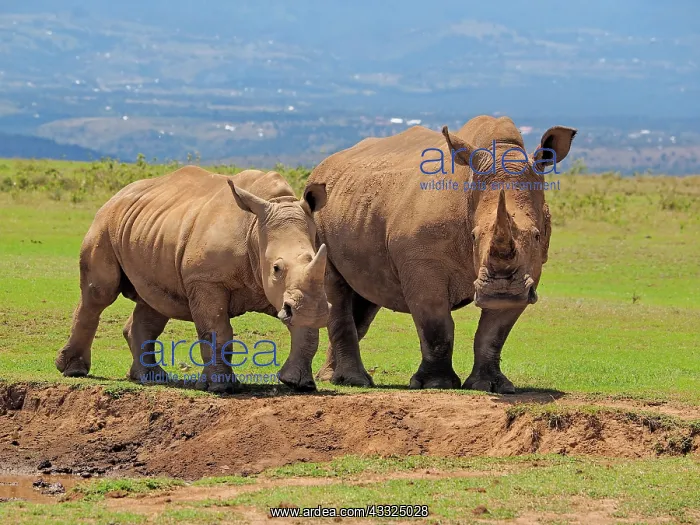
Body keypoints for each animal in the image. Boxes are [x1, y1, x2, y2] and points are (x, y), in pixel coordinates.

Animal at [55, 166, 331, 393]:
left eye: (319, 261)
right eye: (276, 268)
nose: (319, 312)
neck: (254, 230)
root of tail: (116, 196)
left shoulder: (298, 293)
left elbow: (305, 328)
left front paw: (298, 383)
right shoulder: (205, 280)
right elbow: (216, 328)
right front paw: (220, 387)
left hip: (149, 231)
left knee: (154, 303)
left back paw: (152, 378)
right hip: (104, 223)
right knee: (100, 293)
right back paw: (73, 370)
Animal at [305, 115, 576, 393]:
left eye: (537, 236)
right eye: (473, 236)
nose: (502, 291)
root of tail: (322, 167)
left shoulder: (529, 273)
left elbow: (493, 333)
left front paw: (490, 386)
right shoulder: (422, 260)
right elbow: (435, 322)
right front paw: (436, 383)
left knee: (366, 294)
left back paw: (332, 376)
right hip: (315, 213)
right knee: (337, 289)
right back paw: (354, 381)